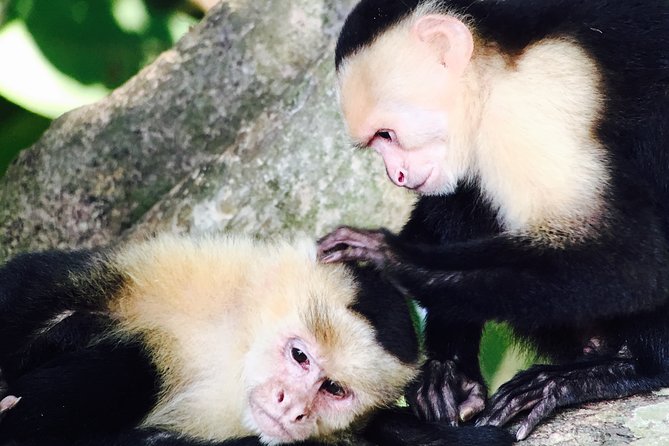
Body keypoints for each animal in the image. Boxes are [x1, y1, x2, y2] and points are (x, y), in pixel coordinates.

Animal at [0, 233, 508, 446]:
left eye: (333, 389)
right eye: (299, 356)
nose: (292, 405)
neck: (238, 352)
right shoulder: (200, 269)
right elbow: (39, 284)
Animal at [316, 0, 668, 440]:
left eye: (386, 135)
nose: (395, 175)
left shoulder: (529, 102)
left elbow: (634, 258)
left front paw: (397, 261)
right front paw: (447, 369)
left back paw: (626, 368)